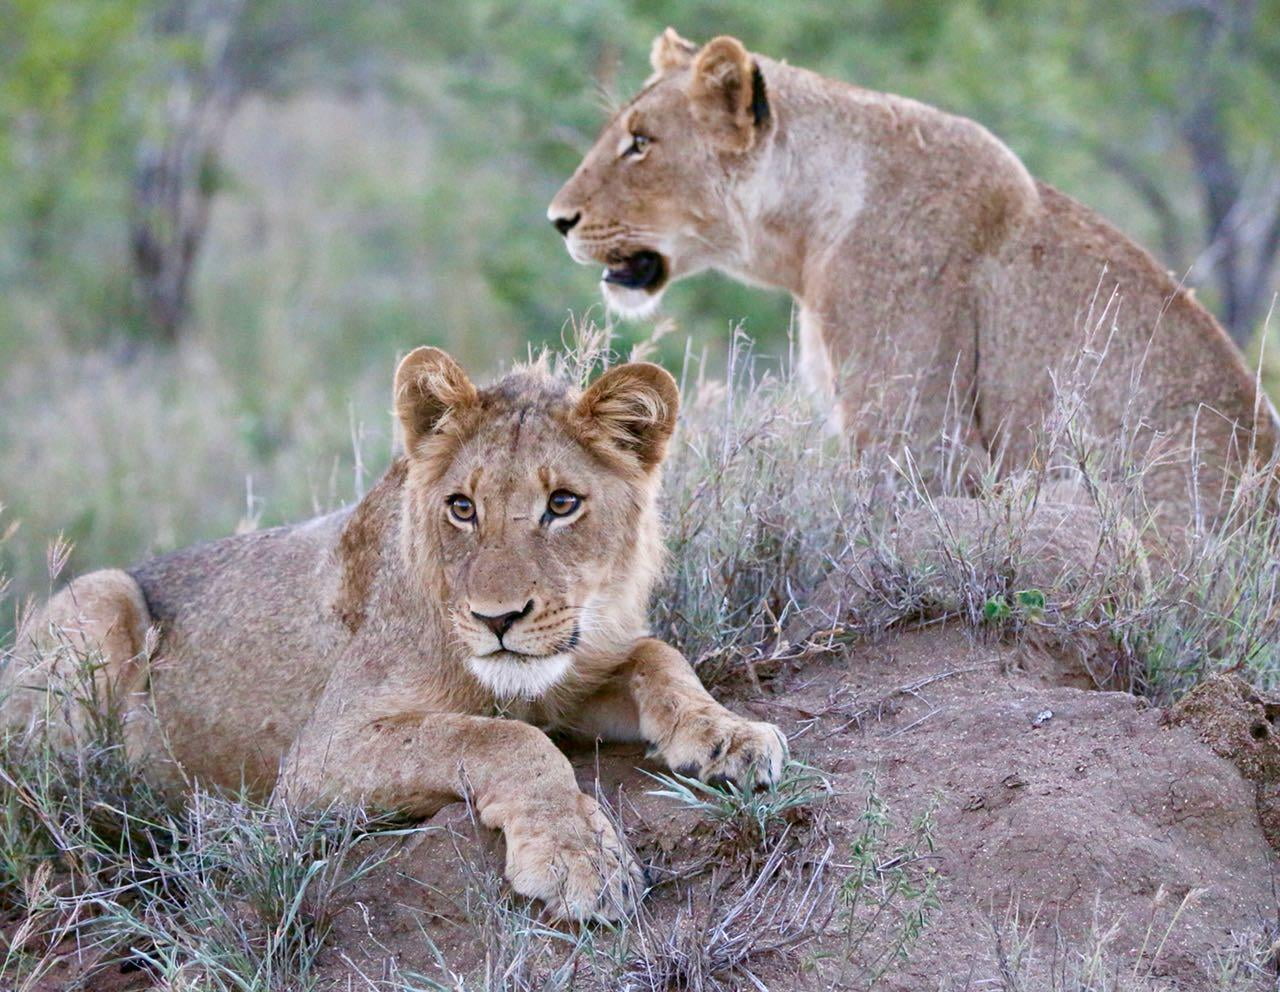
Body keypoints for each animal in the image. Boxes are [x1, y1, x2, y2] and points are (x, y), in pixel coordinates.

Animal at [2, 345, 788, 921]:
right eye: (463, 507)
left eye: (563, 504)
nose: (497, 619)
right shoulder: (317, 760)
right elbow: (498, 738)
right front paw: (579, 858)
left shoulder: (569, 681)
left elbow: (656, 655)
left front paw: (731, 735)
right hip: (101, 596)